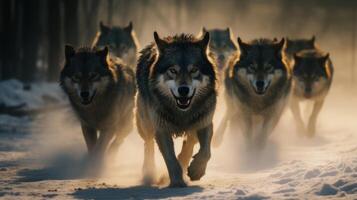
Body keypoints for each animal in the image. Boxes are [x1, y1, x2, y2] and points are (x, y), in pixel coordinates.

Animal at [134, 31, 216, 188]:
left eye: (194, 70)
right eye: (173, 70)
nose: (183, 90)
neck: (182, 114)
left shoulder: (205, 123)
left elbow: (206, 152)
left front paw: (196, 170)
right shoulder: (161, 130)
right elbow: (171, 160)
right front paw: (177, 183)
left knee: (189, 143)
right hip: (146, 125)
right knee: (148, 144)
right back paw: (149, 174)